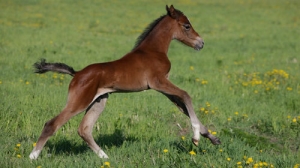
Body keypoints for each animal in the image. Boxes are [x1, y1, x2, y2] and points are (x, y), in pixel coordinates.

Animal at [29, 4, 220, 159]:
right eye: (187, 26)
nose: (201, 43)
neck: (153, 51)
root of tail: (76, 74)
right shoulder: (158, 82)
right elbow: (186, 96)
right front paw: (195, 137)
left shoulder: (163, 88)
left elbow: (182, 107)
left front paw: (213, 138)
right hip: (80, 101)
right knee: (52, 124)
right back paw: (33, 156)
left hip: (99, 100)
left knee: (84, 129)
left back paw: (105, 157)